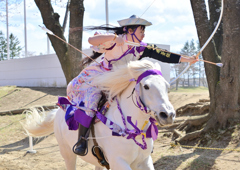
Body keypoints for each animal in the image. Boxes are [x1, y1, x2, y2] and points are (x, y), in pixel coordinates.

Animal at [22, 58, 175, 170]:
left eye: (167, 86)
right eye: (146, 86)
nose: (168, 114)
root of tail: (59, 111)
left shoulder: (144, 161)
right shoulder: (118, 162)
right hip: (67, 154)